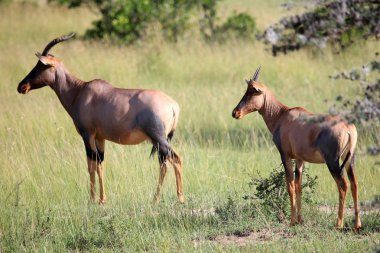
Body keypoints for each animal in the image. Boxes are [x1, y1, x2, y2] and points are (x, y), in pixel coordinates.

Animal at [17, 33, 184, 204]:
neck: (80, 90)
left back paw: (173, 198)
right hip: (160, 140)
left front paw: (94, 200)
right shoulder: (100, 138)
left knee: (174, 160)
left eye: (40, 66)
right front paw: (102, 199)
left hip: (158, 138)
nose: (21, 86)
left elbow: (91, 165)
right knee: (166, 163)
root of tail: (173, 106)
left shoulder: (87, 135)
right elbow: (100, 164)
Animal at [233, 67, 360, 231]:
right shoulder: (300, 159)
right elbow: (299, 186)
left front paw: (292, 221)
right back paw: (357, 225)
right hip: (350, 159)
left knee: (343, 185)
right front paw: (300, 220)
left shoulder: (285, 156)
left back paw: (338, 224)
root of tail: (348, 127)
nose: (235, 113)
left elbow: (290, 186)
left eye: (252, 91)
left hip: (333, 161)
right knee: (354, 185)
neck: (282, 115)